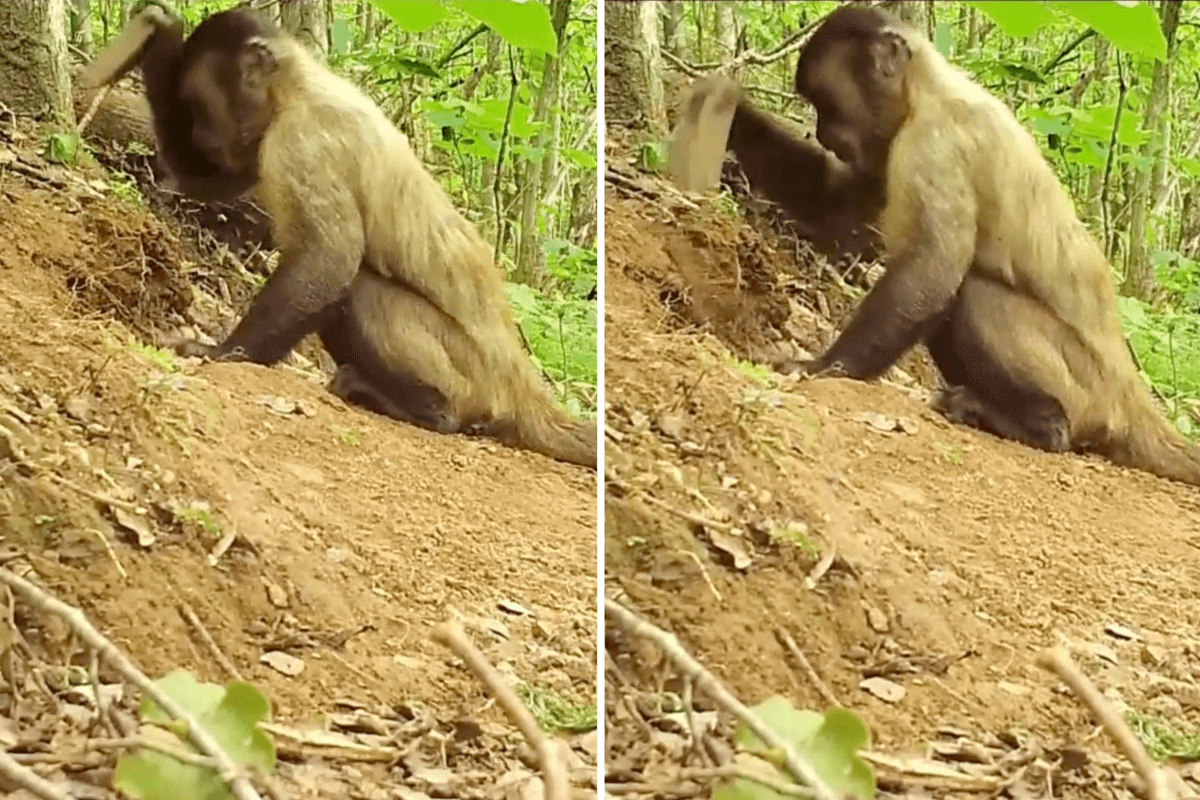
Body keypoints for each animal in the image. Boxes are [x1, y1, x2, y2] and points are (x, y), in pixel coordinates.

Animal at [82, 4, 597, 470]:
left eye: (200, 104)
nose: (206, 134)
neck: (299, 86)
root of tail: (522, 384)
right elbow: (209, 180)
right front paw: (160, 39)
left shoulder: (301, 140)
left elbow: (328, 259)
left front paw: (225, 352)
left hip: (473, 374)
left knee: (355, 288)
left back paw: (431, 410)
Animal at [668, 4, 1200, 488]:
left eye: (828, 106)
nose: (820, 131)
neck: (931, 86)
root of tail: (1132, 397)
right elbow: (836, 208)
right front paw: (732, 112)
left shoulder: (934, 141)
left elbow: (930, 269)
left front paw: (824, 366)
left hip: (1089, 391)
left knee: (967, 292)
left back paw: (1041, 424)